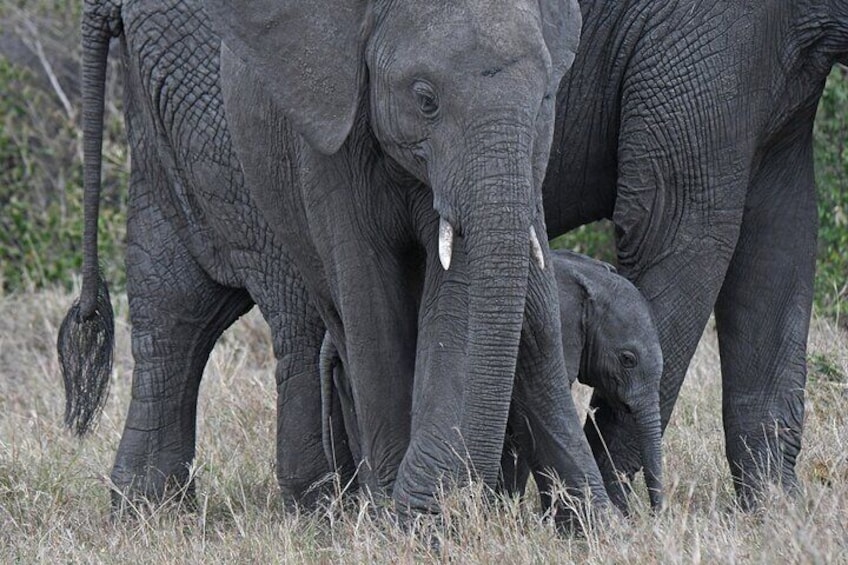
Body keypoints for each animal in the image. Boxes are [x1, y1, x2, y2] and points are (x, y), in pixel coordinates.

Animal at [60, 0, 611, 517]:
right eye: (425, 99)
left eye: (546, 98)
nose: (467, 496)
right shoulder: (333, 137)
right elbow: (370, 294)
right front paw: (403, 517)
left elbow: (458, 289)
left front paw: (418, 513)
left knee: (172, 299)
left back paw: (149, 509)